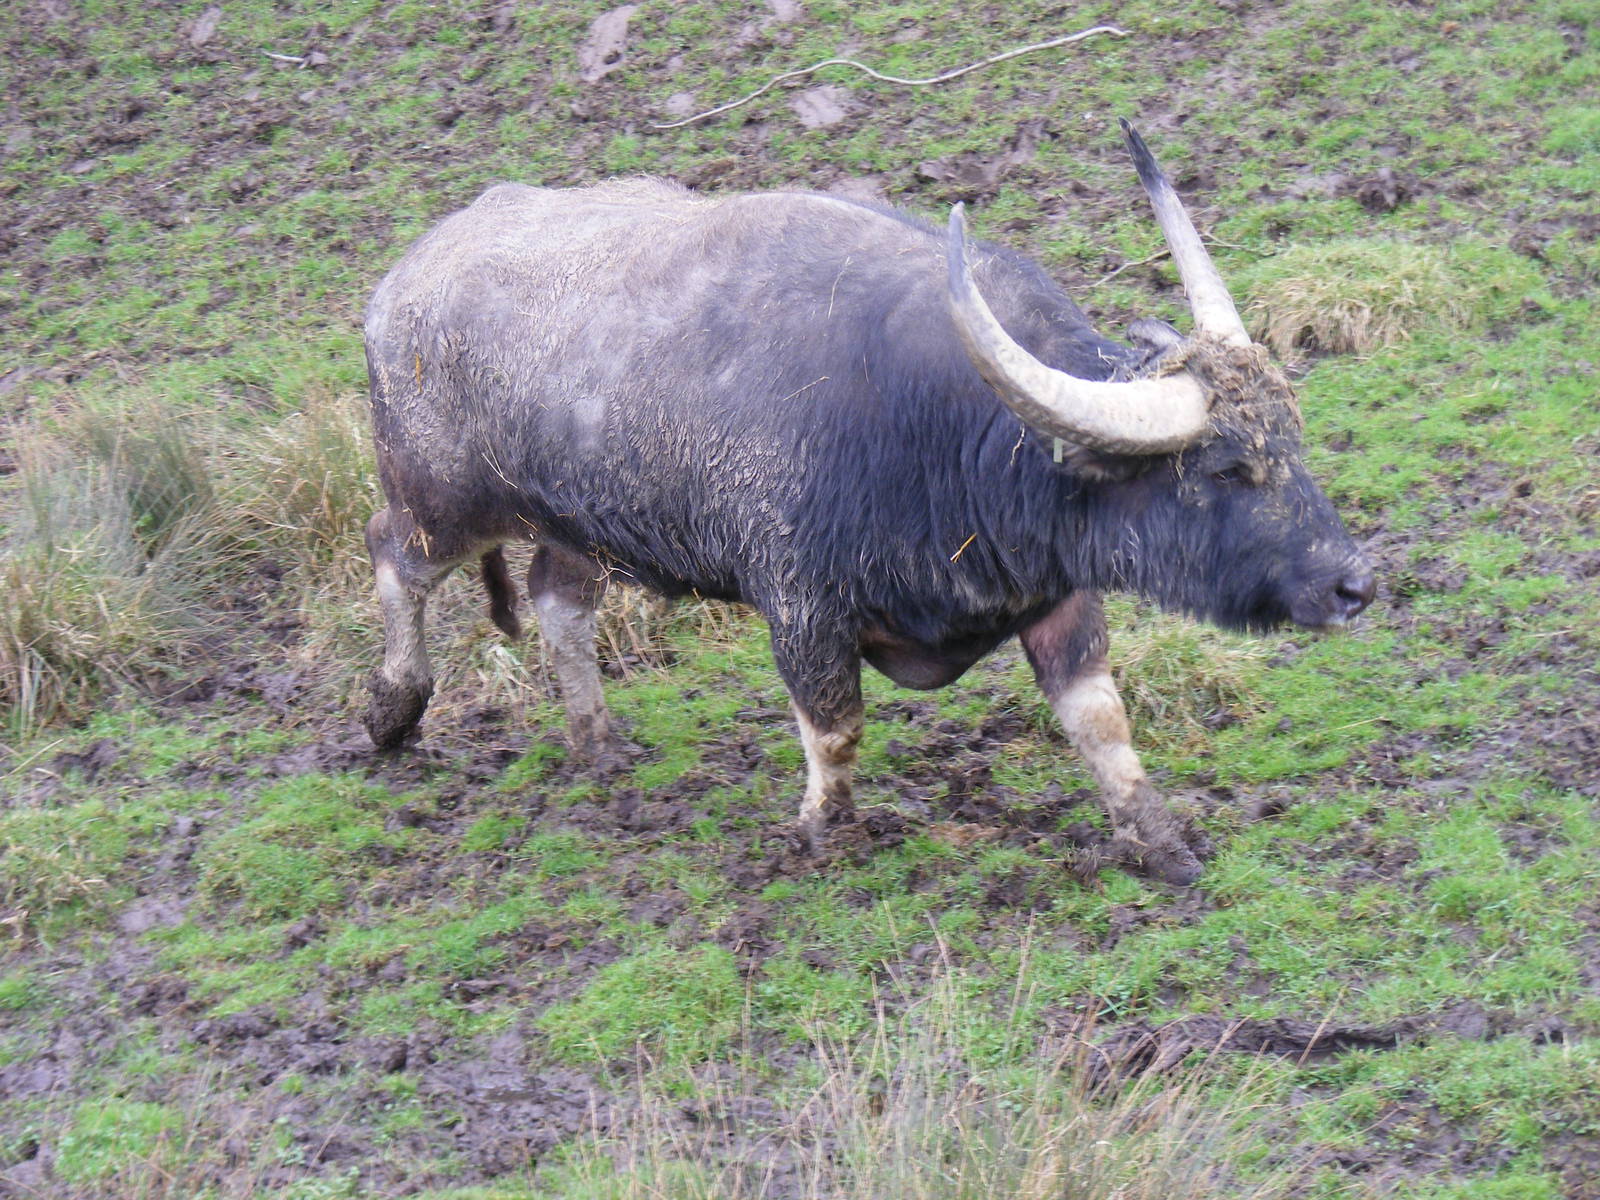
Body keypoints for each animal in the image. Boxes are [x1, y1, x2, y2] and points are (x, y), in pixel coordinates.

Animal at [360, 121, 1373, 884]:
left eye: (1291, 439)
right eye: (1225, 470)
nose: (1354, 587)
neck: (951, 433)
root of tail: (400, 284)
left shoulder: (1057, 594)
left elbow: (1102, 721)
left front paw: (1159, 840)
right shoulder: (802, 606)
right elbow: (837, 727)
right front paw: (821, 831)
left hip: (577, 527)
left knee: (556, 600)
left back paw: (597, 740)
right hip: (436, 499)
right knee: (394, 559)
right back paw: (394, 710)